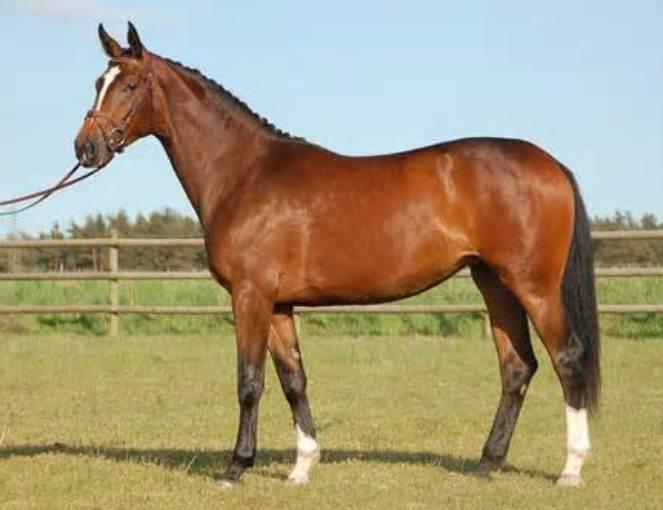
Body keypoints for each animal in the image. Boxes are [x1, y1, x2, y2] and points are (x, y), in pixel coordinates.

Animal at [73, 23, 600, 488]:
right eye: (99, 83)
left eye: (131, 85)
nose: (85, 148)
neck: (244, 173)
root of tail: (550, 163)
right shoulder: (279, 304)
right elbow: (293, 380)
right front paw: (302, 467)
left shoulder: (250, 296)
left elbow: (249, 381)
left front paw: (236, 467)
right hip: (493, 282)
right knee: (517, 367)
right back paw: (487, 464)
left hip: (533, 286)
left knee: (567, 358)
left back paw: (571, 469)